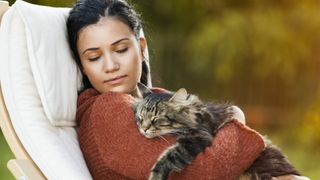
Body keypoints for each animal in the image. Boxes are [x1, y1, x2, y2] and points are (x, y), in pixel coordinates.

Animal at [134, 83, 302, 180]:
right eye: (140, 118)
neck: (196, 115)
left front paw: (155, 176)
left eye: (156, 119)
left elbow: (166, 158)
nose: (144, 129)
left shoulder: (198, 137)